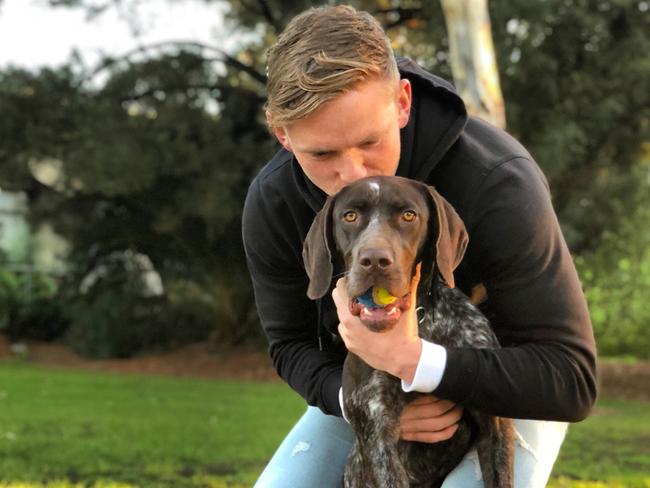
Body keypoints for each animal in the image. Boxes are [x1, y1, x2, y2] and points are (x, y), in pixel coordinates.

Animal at [302, 175, 512, 488]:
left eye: (408, 215)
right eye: (350, 216)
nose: (375, 260)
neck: (422, 326)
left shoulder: (494, 421)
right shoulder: (378, 432)